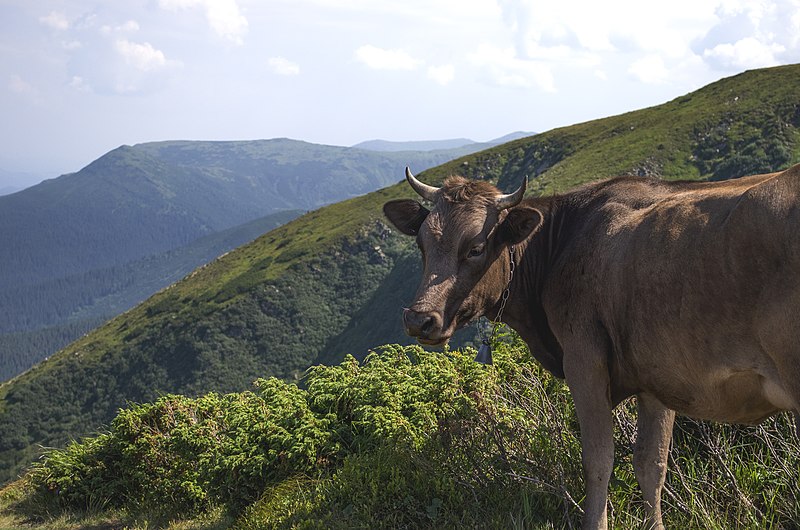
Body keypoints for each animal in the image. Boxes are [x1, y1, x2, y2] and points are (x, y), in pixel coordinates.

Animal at [382, 166, 800, 528]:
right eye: (421, 244)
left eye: (476, 247)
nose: (419, 319)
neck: (562, 244)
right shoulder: (658, 377)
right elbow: (651, 464)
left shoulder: (584, 361)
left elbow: (598, 461)